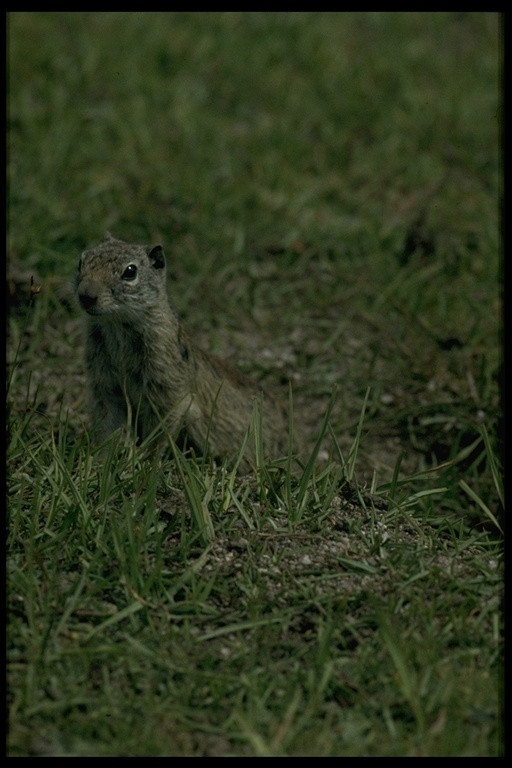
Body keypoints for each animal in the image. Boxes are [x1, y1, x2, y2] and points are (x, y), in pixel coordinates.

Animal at [74, 232, 294, 474]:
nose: (86, 295)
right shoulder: (104, 386)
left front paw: (146, 466)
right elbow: (107, 426)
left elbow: (158, 434)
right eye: (81, 261)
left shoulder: (167, 390)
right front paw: (99, 461)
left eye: (130, 271)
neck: (117, 327)